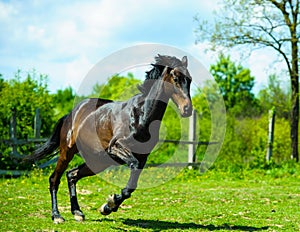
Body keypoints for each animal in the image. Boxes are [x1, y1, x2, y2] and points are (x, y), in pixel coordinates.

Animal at [22, 54, 192, 223]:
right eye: (176, 79)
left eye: (189, 80)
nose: (187, 109)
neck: (141, 115)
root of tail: (70, 115)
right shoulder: (116, 148)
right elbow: (133, 167)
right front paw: (110, 203)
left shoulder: (143, 157)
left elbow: (132, 185)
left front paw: (107, 207)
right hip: (67, 152)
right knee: (54, 179)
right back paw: (57, 215)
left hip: (98, 161)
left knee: (72, 175)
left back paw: (77, 212)